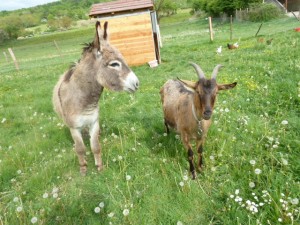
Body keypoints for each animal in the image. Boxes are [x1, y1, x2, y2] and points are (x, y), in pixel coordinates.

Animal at [52, 21, 139, 175]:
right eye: (114, 64)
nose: (137, 83)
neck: (86, 101)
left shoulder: (94, 122)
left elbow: (96, 146)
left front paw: (99, 166)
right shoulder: (74, 127)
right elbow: (80, 149)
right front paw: (83, 168)